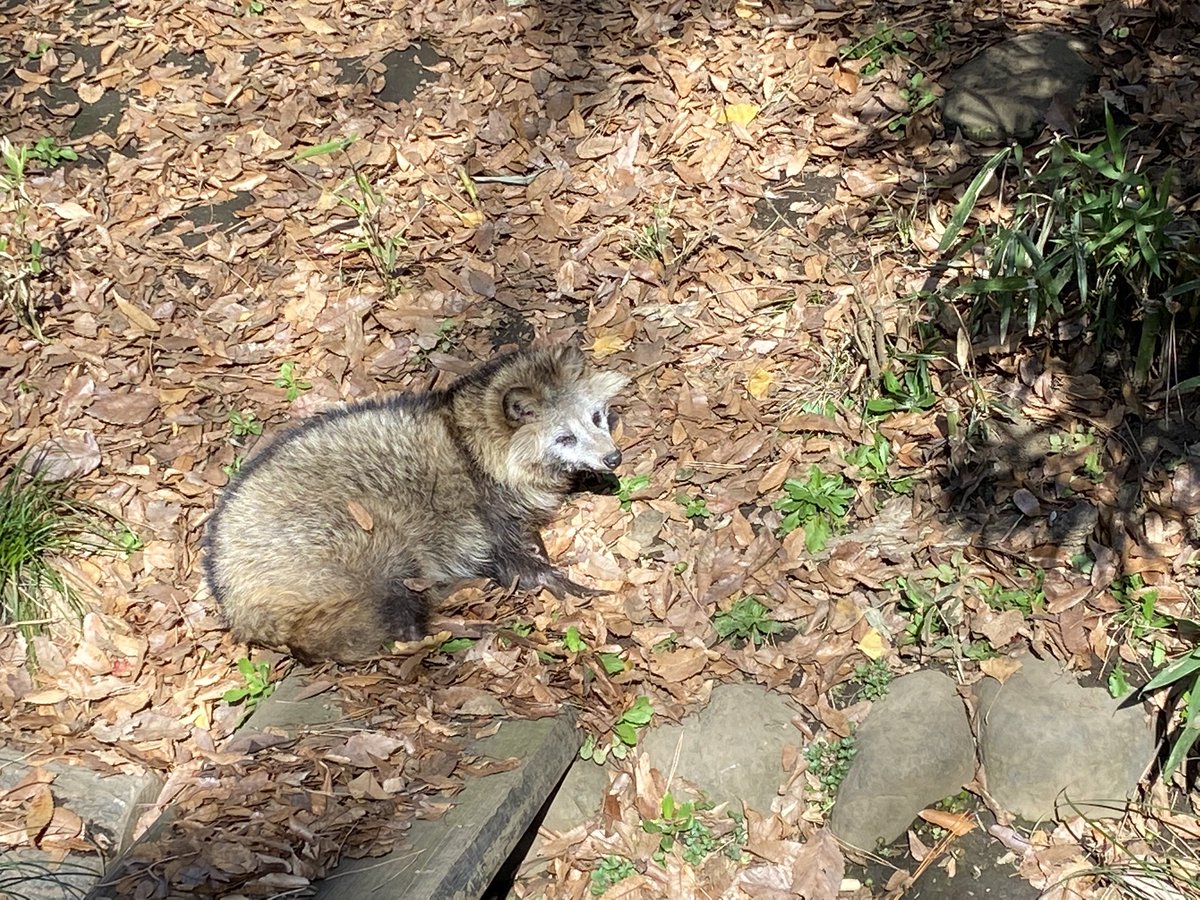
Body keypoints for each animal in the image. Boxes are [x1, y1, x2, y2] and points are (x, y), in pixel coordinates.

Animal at [205, 345, 628, 662]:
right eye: (565, 438)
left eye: (596, 417)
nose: (613, 458)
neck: (468, 435)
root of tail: (230, 592)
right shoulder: (477, 515)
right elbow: (510, 560)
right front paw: (562, 583)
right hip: (349, 538)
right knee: (395, 614)